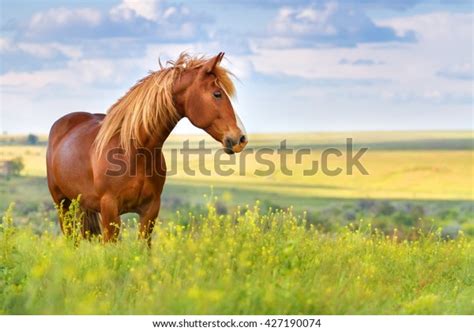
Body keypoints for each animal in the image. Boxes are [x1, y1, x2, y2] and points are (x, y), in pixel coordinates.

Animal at [45, 52, 248, 244]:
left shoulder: (150, 210)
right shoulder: (110, 210)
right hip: (62, 204)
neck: (134, 151)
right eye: (217, 94)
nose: (241, 138)